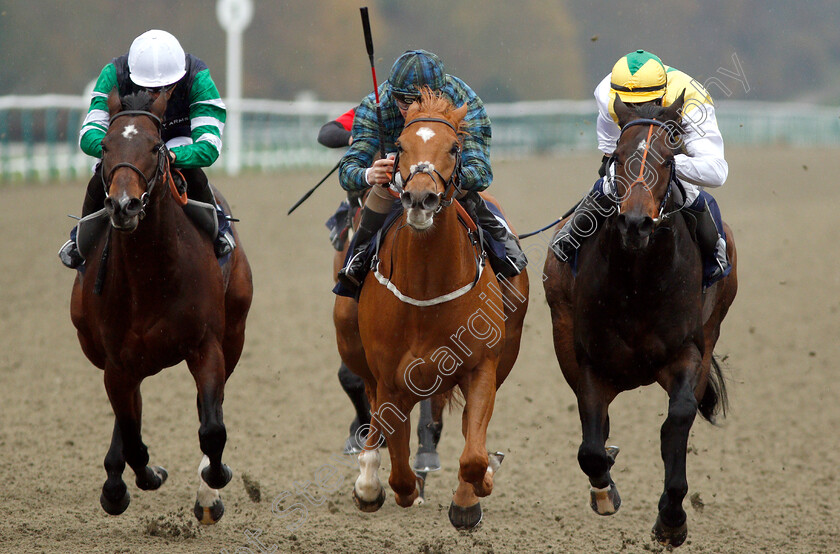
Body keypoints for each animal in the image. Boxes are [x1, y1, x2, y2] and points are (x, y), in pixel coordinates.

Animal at [68, 89, 253, 520]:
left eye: (155, 147)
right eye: (105, 146)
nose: (124, 206)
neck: (150, 273)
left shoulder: (206, 346)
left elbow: (212, 428)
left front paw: (214, 483)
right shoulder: (117, 363)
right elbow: (133, 436)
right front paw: (139, 477)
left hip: (234, 334)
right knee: (128, 417)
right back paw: (117, 482)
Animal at [332, 88, 528, 528]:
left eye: (454, 147)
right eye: (400, 146)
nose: (420, 198)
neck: (426, 290)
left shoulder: (481, 365)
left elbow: (473, 454)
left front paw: (471, 497)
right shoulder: (391, 376)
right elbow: (399, 469)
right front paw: (377, 484)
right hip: (353, 342)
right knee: (372, 408)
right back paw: (369, 476)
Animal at [544, 92, 736, 544]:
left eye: (668, 159)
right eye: (618, 156)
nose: (635, 223)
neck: (639, 280)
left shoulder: (687, 352)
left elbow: (677, 422)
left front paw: (672, 517)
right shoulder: (590, 361)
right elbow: (591, 447)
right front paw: (605, 492)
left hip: (711, 330)